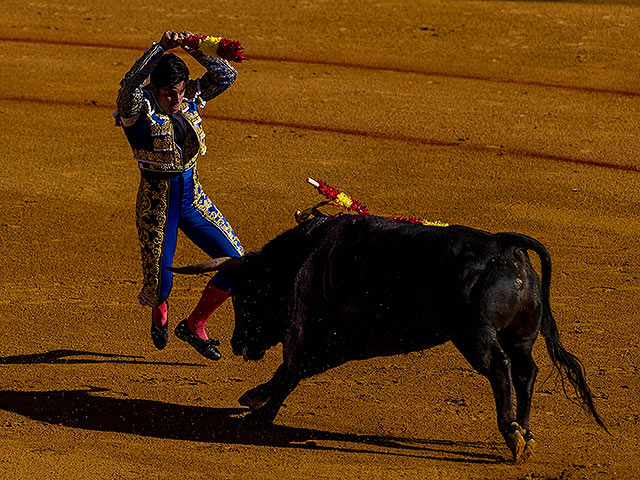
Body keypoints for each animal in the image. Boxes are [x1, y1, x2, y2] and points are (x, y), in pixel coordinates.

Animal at [169, 214, 604, 462]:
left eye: (246, 294)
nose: (237, 343)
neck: (307, 254)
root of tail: (504, 245)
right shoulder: (342, 342)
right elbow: (291, 371)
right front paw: (254, 397)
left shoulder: (309, 327)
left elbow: (290, 370)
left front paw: (259, 412)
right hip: (521, 336)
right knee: (526, 372)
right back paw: (525, 431)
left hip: (475, 337)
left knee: (500, 369)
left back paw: (512, 432)